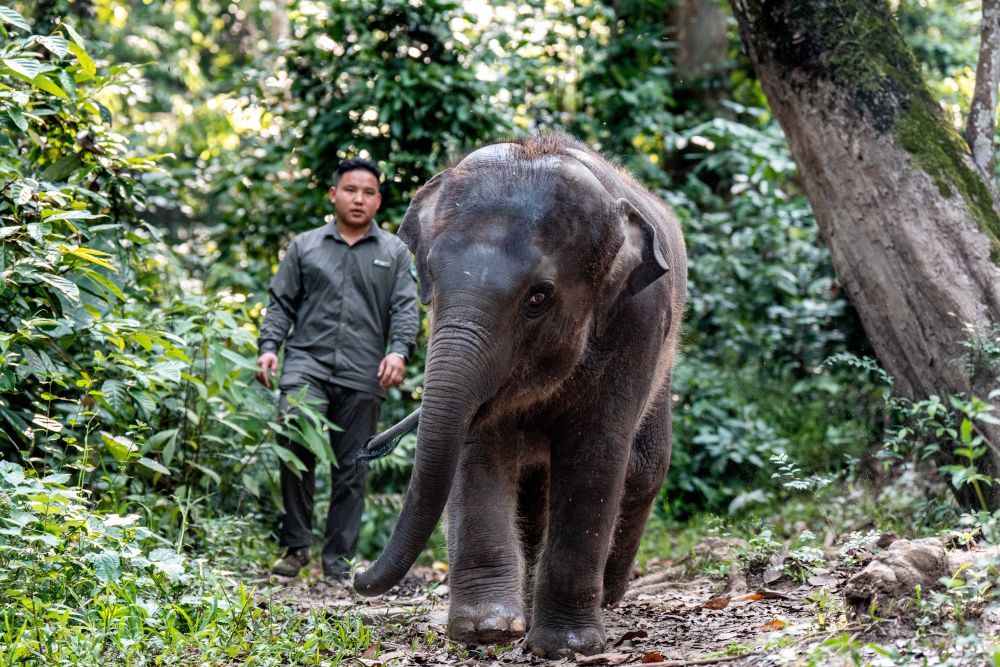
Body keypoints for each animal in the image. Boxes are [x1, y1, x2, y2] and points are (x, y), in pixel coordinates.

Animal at [353, 134, 687, 658]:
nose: (355, 575)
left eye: (538, 297)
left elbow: (594, 455)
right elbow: (476, 449)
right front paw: (486, 631)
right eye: (431, 281)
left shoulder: (638, 323)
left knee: (644, 468)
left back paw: (610, 595)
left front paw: (567, 646)